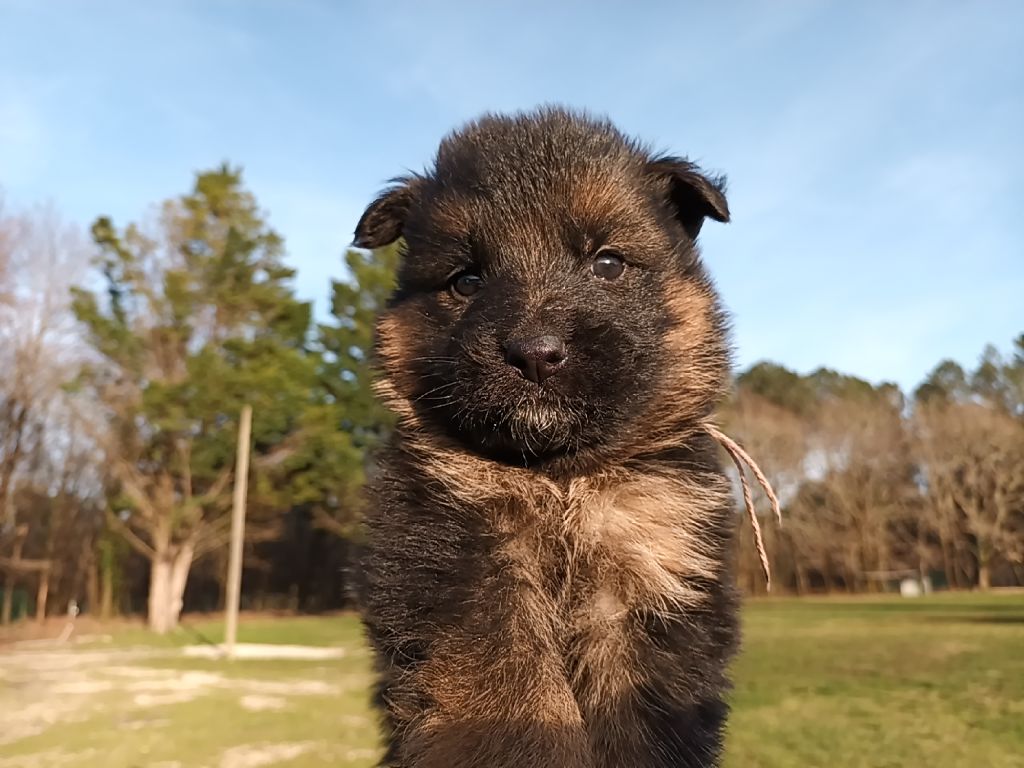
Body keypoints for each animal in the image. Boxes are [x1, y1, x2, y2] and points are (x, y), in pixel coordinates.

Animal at [356, 107, 741, 768]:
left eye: (607, 264)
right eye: (466, 281)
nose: (535, 354)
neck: (559, 477)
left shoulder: (647, 588)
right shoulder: (467, 576)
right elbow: (514, 701)